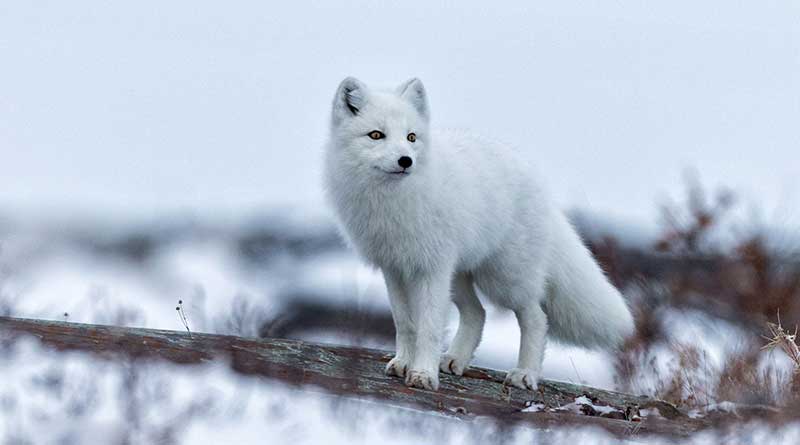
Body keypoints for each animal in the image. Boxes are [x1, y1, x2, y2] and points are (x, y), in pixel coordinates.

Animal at [323, 77, 635, 391]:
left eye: (411, 137)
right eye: (376, 135)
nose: (405, 161)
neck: (392, 202)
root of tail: (538, 183)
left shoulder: (432, 268)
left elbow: (429, 328)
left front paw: (423, 375)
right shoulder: (394, 268)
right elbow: (405, 323)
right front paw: (403, 363)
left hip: (504, 278)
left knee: (536, 318)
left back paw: (525, 374)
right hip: (462, 275)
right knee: (478, 313)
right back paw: (454, 360)